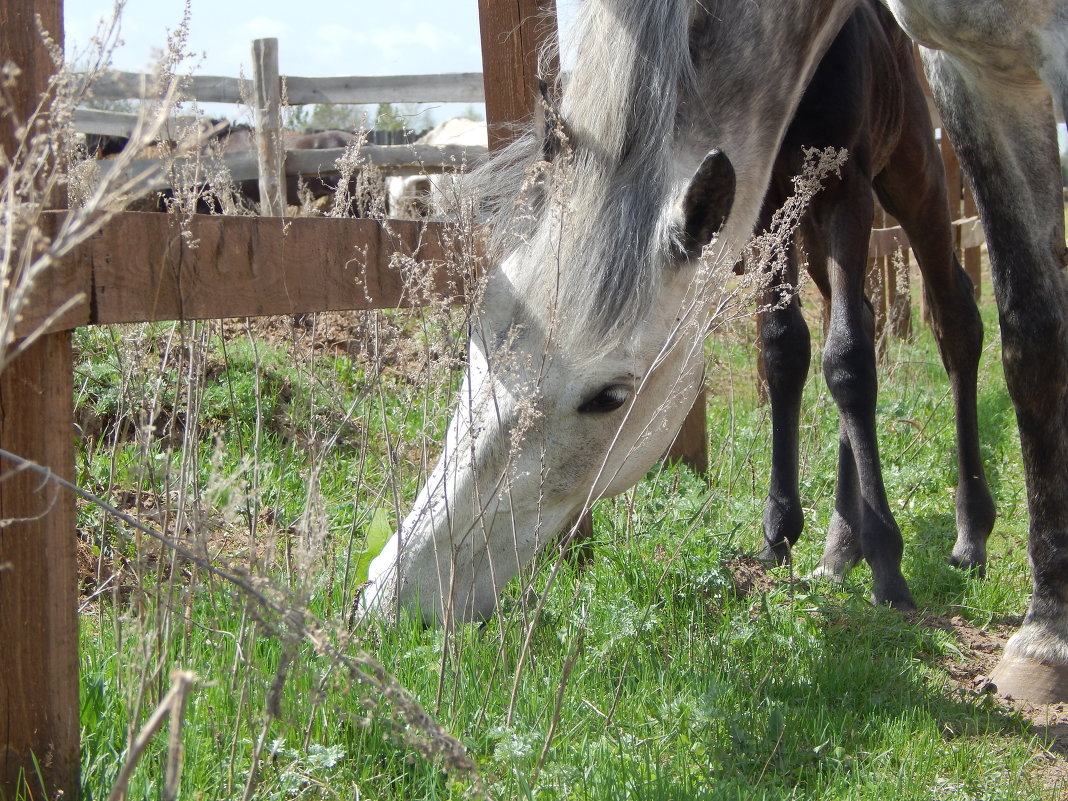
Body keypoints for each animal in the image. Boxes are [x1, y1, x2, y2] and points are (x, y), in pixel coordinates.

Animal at [365, 0, 1068, 700]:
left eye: (609, 397)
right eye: (474, 332)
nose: (392, 596)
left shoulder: (847, 185)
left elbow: (849, 360)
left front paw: (891, 570)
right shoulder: (766, 209)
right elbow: (786, 350)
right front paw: (785, 535)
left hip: (913, 173)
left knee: (953, 323)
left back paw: (968, 536)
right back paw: (841, 547)